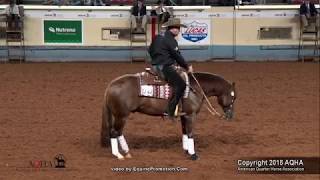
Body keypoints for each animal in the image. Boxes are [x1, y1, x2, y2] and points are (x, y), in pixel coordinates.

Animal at [101, 70, 236, 160]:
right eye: (233, 96)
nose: (230, 116)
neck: (195, 88)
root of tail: (111, 84)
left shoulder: (184, 115)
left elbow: (184, 132)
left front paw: (186, 150)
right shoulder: (190, 115)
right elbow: (190, 133)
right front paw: (193, 155)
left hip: (120, 116)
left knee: (118, 132)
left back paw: (126, 152)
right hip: (121, 115)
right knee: (114, 132)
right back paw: (118, 155)